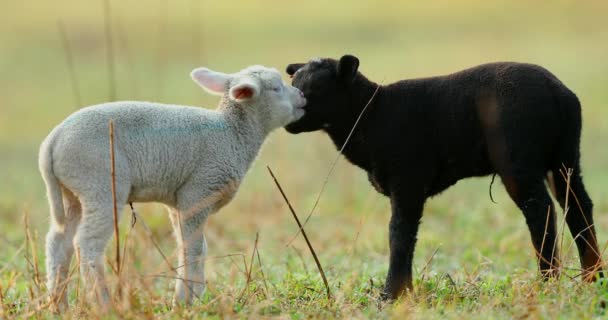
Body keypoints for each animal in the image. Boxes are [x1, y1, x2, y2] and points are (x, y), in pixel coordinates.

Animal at [38, 63, 306, 308]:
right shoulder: (198, 191)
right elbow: (193, 249)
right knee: (87, 243)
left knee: (58, 243)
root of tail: (53, 141)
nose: (303, 96)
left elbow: (192, 247)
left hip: (72, 192)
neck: (232, 134)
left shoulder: (179, 202)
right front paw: (186, 300)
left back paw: (58, 304)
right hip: (100, 183)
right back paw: (104, 304)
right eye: (276, 87)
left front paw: (190, 295)